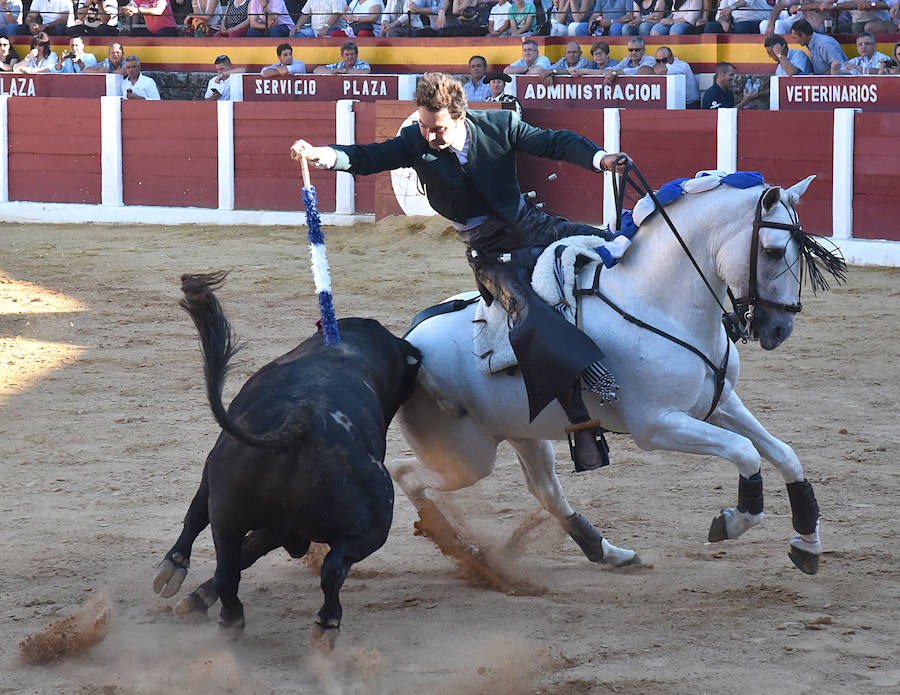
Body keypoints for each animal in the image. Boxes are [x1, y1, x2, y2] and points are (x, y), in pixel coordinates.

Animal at [152, 272, 422, 648]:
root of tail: (302, 419)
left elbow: (215, 532)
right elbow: (222, 534)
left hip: (242, 515)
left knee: (235, 564)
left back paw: (239, 618)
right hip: (359, 524)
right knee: (327, 566)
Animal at [390, 177, 840, 580]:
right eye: (772, 250)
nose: (779, 328)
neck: (655, 301)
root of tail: (409, 344)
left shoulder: (719, 404)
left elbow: (784, 453)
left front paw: (807, 543)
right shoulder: (657, 426)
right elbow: (746, 452)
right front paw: (731, 521)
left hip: (523, 436)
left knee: (545, 491)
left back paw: (608, 553)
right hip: (466, 459)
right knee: (404, 472)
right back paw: (459, 546)